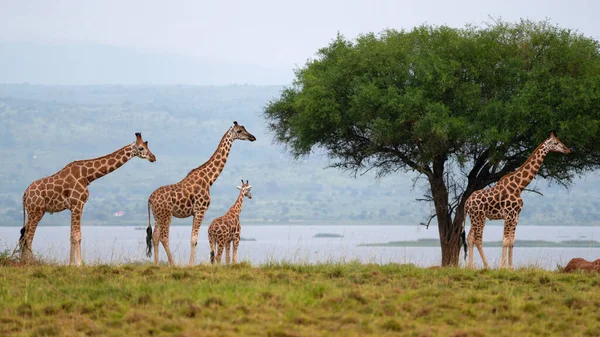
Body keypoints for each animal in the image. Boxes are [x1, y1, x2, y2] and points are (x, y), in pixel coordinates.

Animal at [19, 133, 157, 266]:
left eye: (147, 145)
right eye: (141, 148)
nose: (153, 157)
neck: (87, 175)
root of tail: (25, 194)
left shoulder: (75, 206)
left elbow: (72, 234)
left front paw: (71, 263)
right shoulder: (77, 204)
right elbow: (77, 235)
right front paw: (79, 263)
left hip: (35, 212)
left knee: (24, 233)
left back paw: (24, 260)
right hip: (36, 211)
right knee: (29, 235)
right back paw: (30, 262)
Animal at [148, 121, 258, 266]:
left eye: (244, 128)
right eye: (239, 131)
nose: (252, 137)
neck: (209, 179)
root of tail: (150, 198)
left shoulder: (195, 212)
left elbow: (194, 240)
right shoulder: (200, 210)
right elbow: (193, 239)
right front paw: (191, 266)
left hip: (158, 215)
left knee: (155, 237)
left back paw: (156, 265)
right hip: (167, 214)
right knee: (164, 237)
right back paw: (172, 264)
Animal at [464, 131, 572, 268]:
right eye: (556, 142)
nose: (567, 150)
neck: (519, 186)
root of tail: (466, 203)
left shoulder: (516, 216)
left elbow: (512, 241)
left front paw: (510, 267)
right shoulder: (509, 215)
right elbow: (505, 240)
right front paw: (502, 267)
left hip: (475, 217)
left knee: (470, 237)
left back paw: (470, 267)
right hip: (479, 217)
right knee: (477, 239)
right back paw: (486, 266)